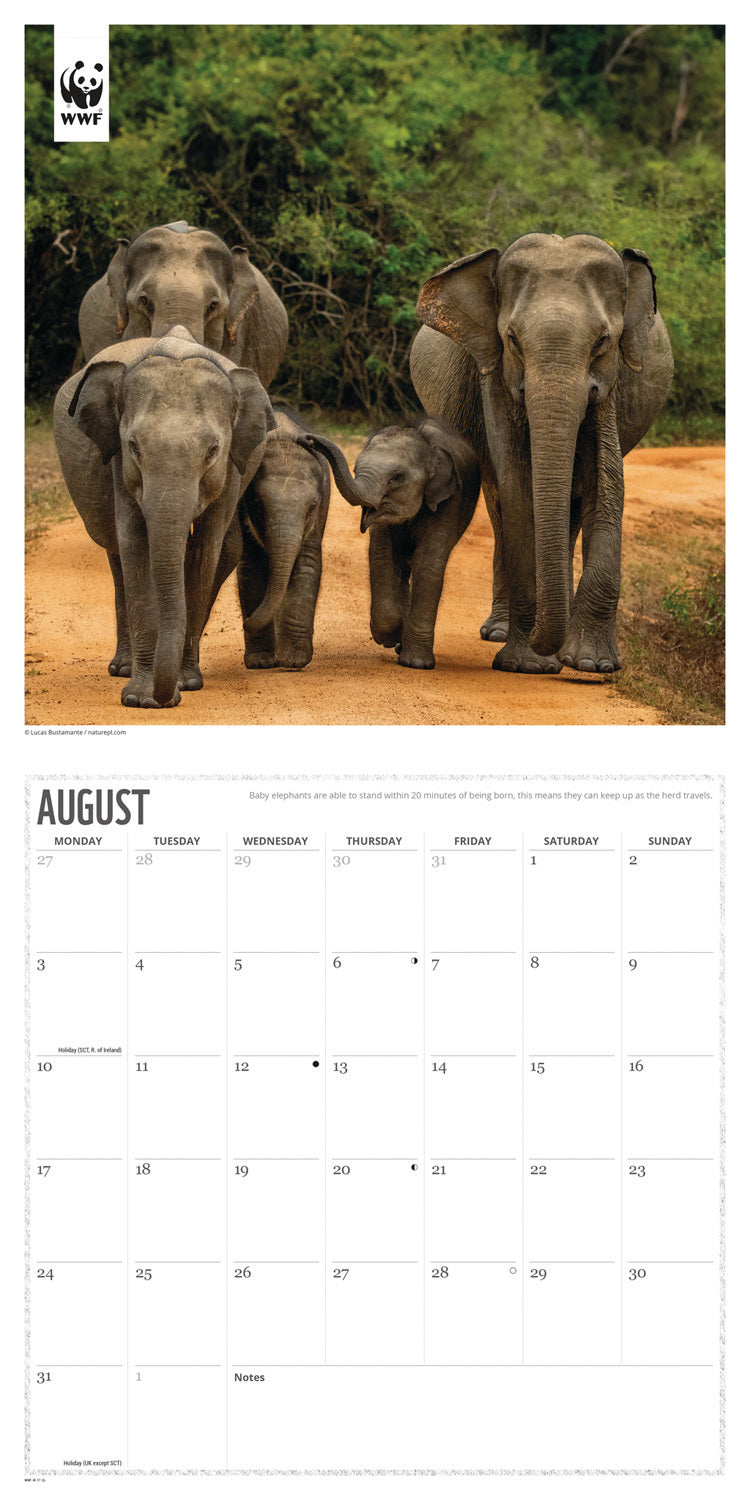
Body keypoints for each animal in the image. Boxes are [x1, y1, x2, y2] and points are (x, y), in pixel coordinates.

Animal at [53, 327, 275, 708]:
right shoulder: (118, 464)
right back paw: (123, 669)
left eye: (213, 450)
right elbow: (134, 546)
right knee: (116, 557)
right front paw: (140, 698)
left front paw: (185, 684)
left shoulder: (232, 469)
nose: (164, 697)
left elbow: (204, 551)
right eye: (133, 446)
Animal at [238, 410, 331, 670]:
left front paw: (294, 660)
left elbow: (307, 564)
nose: (245, 621)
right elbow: (252, 568)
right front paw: (261, 662)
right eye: (257, 506)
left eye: (311, 508)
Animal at [305, 417, 480, 669]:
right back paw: (399, 643)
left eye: (397, 478)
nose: (309, 439)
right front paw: (391, 638)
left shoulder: (449, 500)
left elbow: (429, 563)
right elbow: (382, 555)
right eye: (355, 469)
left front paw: (416, 663)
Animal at [410, 233, 674, 674]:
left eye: (603, 341)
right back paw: (500, 633)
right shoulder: (494, 374)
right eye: (513, 340)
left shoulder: (611, 382)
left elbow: (606, 483)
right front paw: (528, 664)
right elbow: (519, 487)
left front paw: (591, 665)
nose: (545, 644)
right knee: (501, 507)